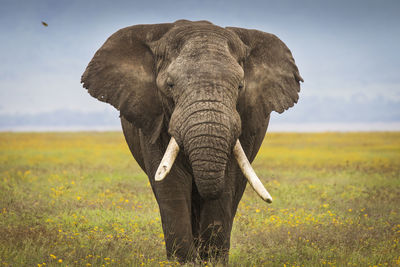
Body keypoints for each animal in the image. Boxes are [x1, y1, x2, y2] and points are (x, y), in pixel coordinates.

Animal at [81, 19, 302, 264]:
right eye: (170, 85)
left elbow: (227, 182)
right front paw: (184, 262)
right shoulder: (154, 118)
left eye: (240, 87)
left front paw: (211, 262)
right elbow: (172, 183)